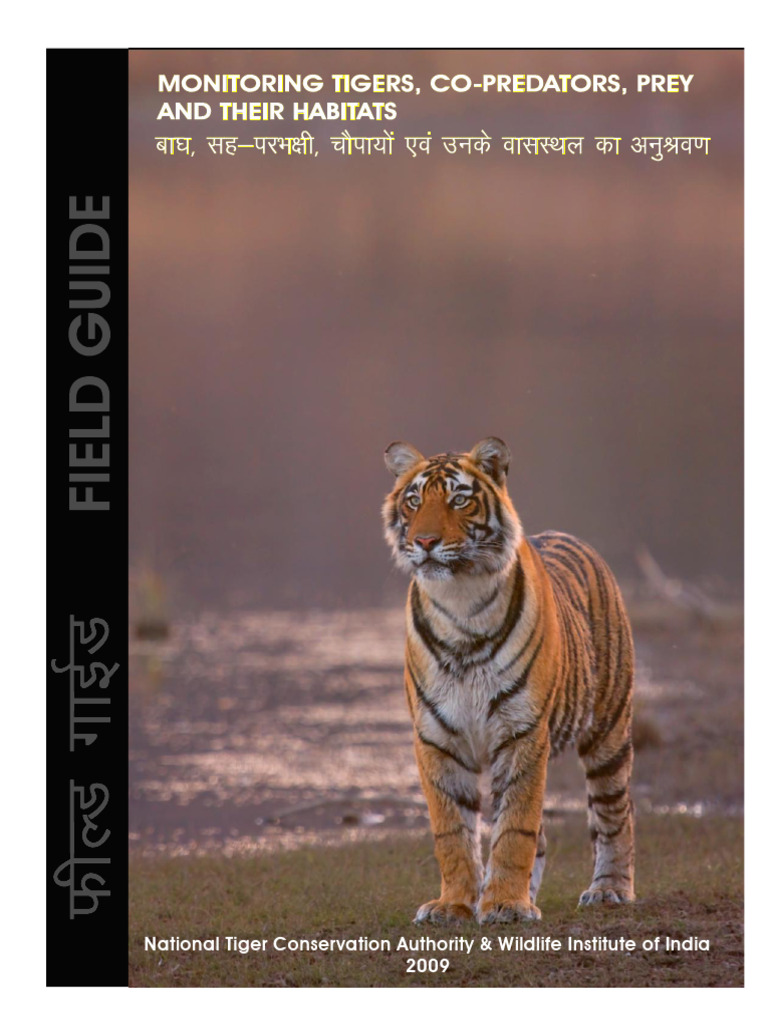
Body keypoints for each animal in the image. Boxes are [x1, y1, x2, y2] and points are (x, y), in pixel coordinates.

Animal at [382, 437, 635, 924]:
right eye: (414, 501)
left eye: (459, 500)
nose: (425, 541)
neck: (459, 601)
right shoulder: (436, 737)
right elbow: (453, 831)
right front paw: (455, 905)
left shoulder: (521, 731)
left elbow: (516, 827)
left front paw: (506, 905)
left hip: (608, 733)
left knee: (616, 813)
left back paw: (609, 889)